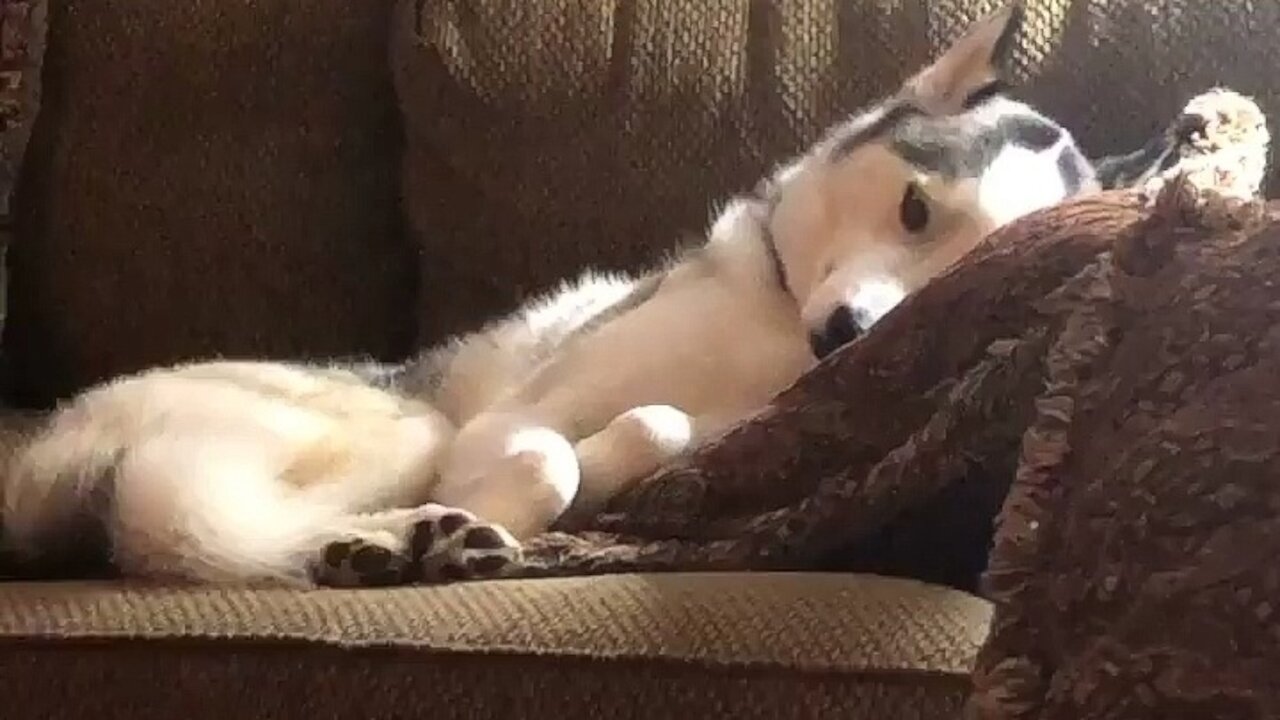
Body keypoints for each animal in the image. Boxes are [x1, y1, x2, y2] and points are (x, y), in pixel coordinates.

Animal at [0, 4, 1141, 584]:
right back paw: (397, 539)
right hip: (395, 424)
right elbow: (549, 458)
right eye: (913, 210)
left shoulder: (688, 424)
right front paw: (498, 506)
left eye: (961, 274)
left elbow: (649, 434)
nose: (847, 337)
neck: (771, 324)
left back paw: (397, 542)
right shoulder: (507, 415)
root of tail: (42, 463)